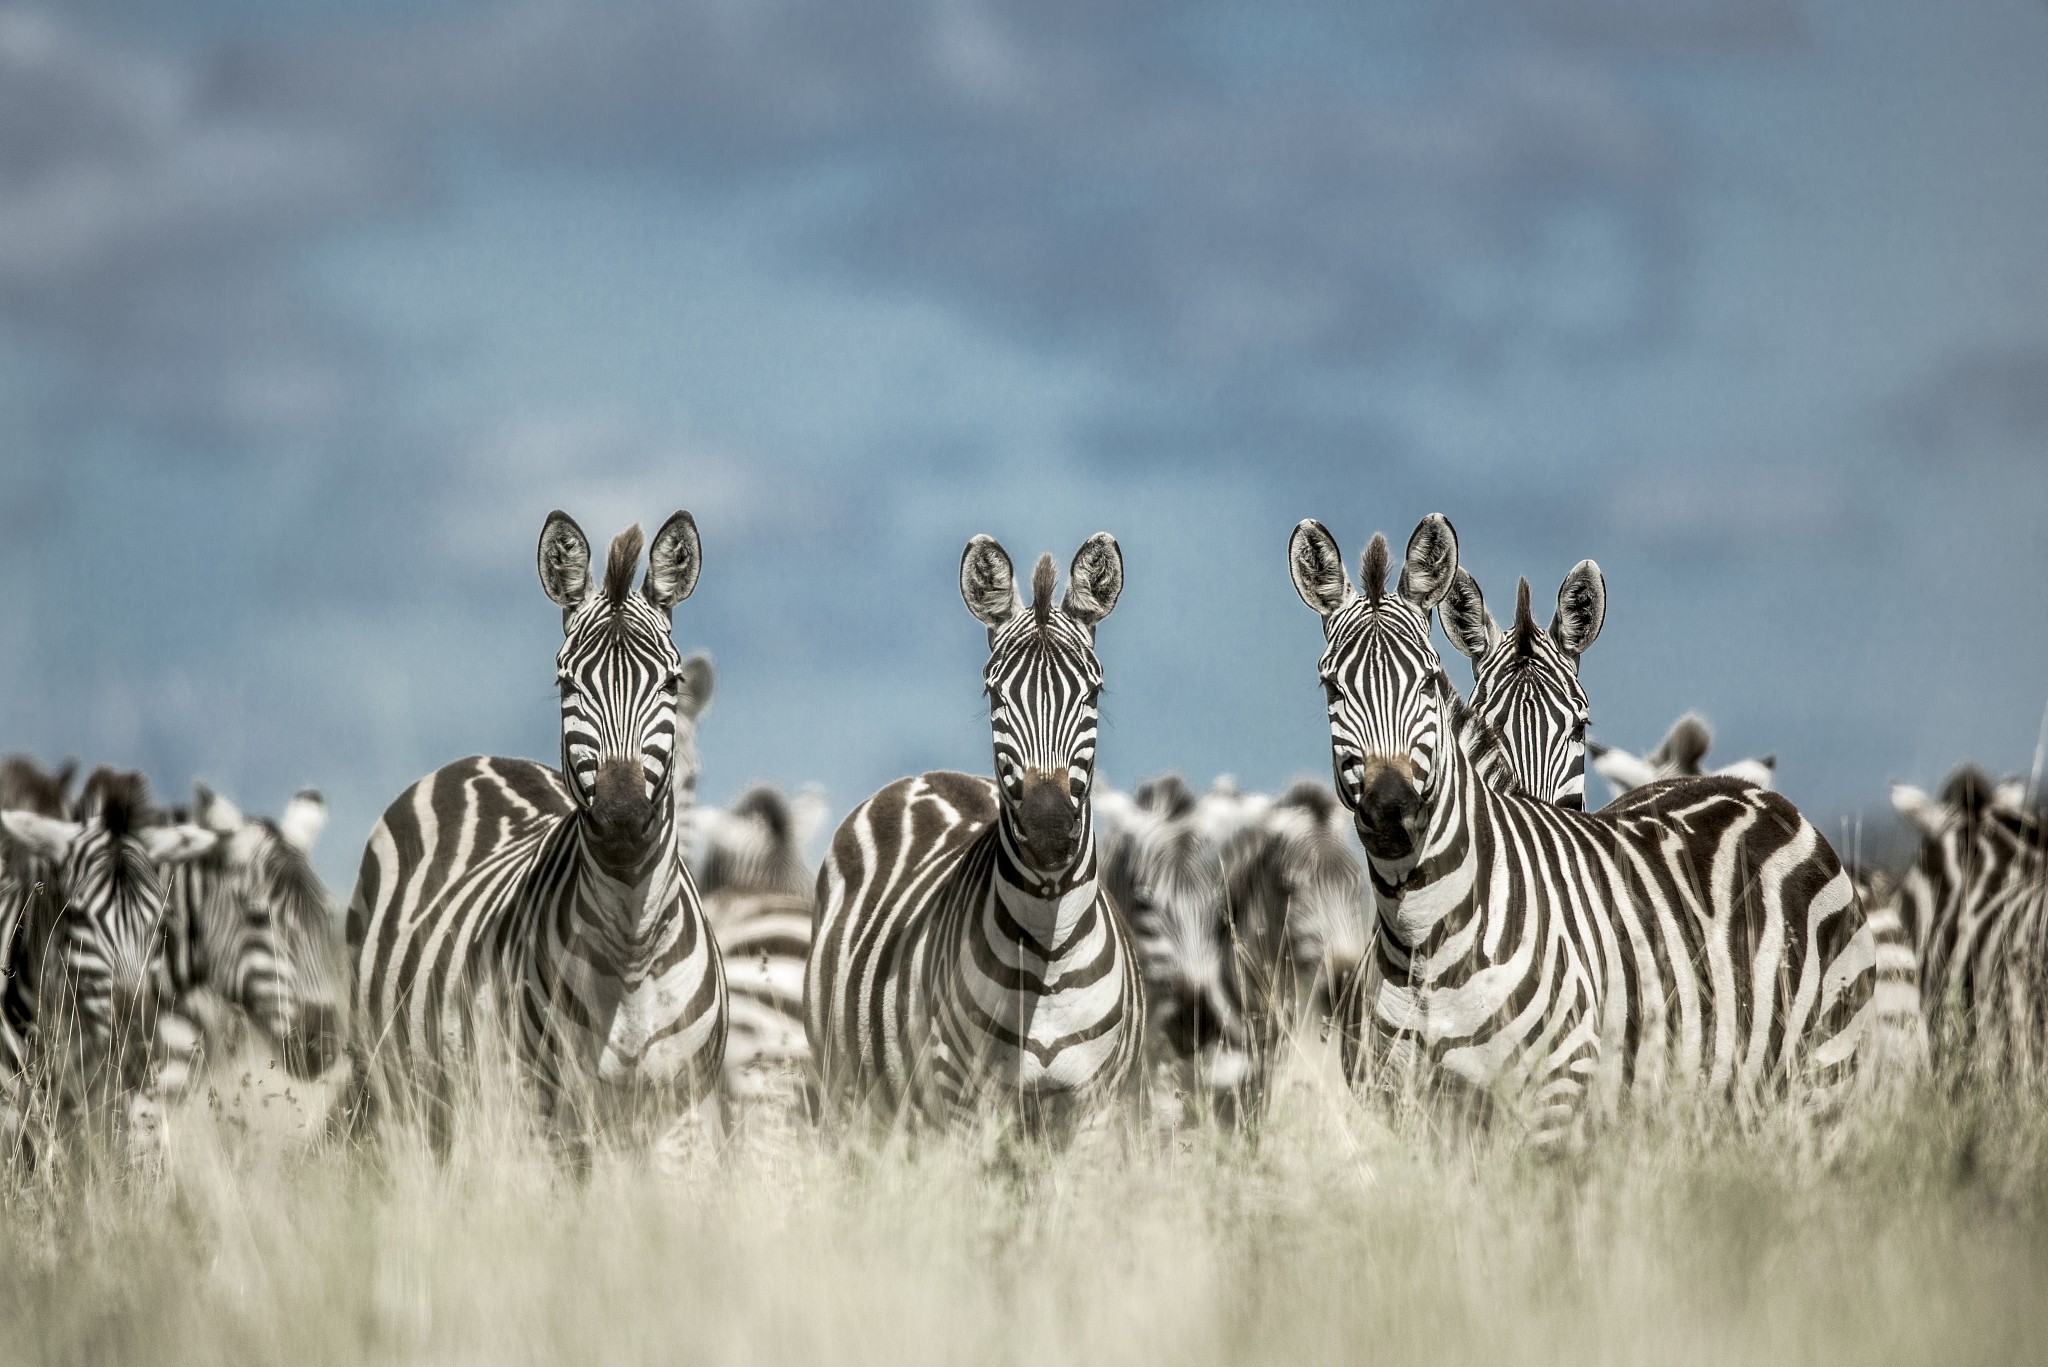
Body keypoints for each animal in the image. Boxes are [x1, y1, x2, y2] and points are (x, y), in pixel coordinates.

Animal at [344, 511, 726, 1157]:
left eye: (671, 684)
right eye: (567, 683)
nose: (623, 816)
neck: (631, 948)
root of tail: (478, 760)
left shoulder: (679, 1115)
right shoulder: (548, 1114)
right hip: (408, 1091)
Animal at [805, 534, 1146, 1140]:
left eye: (1093, 692)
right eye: (994, 694)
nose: (1048, 829)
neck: (1048, 952)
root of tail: (926, 777)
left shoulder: (1096, 1107)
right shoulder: (964, 1105)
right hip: (847, 1093)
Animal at [1288, 513, 1879, 1137]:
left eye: (1428, 681)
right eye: (1332, 688)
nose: (1389, 808)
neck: (1423, 933)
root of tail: (1749, 790)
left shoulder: (1555, 1097)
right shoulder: (1406, 1113)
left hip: (1824, 1078)